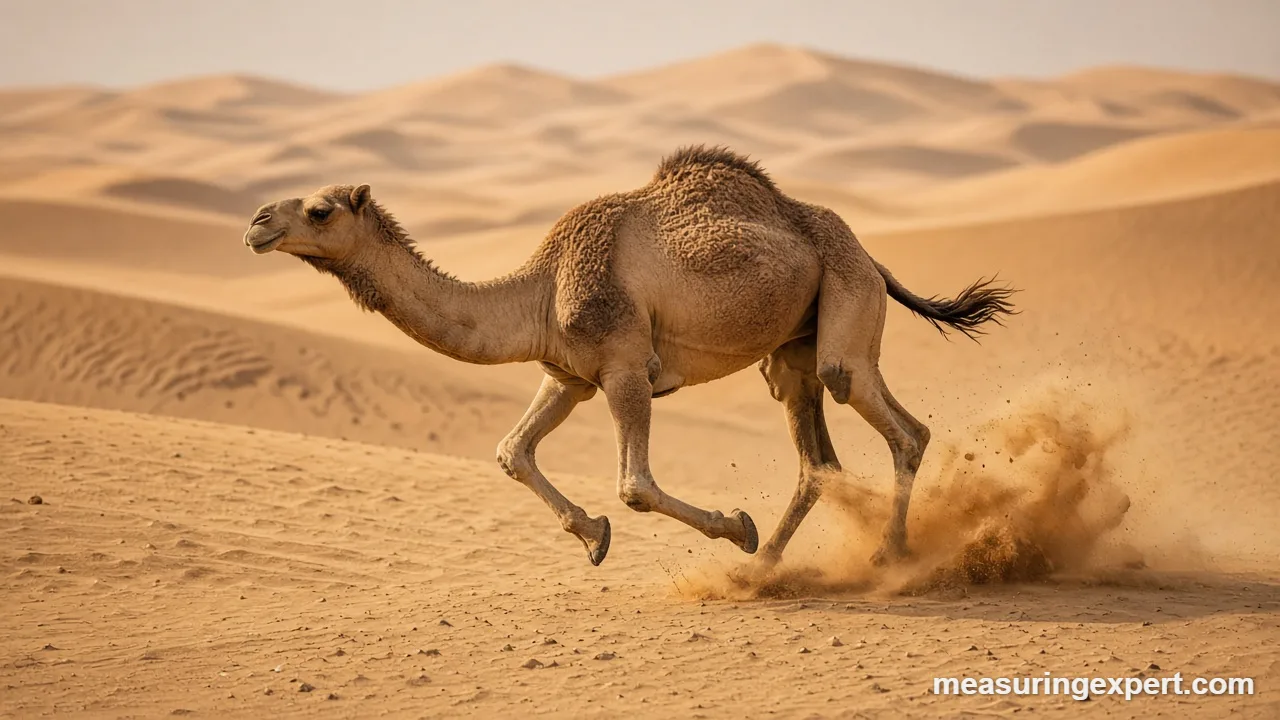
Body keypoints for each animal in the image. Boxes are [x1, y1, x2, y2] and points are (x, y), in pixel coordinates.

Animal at [241, 146, 1016, 568]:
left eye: (319, 210)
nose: (255, 222)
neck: (539, 288)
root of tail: (872, 255)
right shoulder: (567, 375)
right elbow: (511, 452)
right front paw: (592, 538)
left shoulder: (622, 368)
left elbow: (635, 485)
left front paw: (734, 527)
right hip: (792, 348)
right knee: (818, 455)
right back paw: (767, 567)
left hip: (846, 304)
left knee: (889, 418)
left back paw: (886, 555)